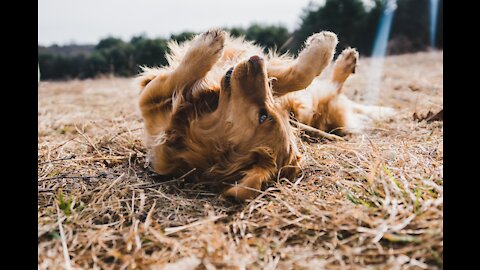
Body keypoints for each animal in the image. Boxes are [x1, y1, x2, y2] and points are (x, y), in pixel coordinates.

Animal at [137, 30, 392, 202]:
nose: (256, 59)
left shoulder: (149, 102)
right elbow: (295, 77)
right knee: (332, 89)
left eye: (263, 116)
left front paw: (207, 47)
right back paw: (347, 60)